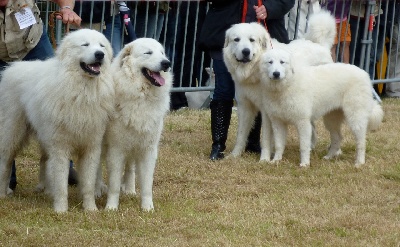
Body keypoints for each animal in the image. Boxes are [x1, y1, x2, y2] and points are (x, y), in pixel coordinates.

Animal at [0, 29, 114, 212]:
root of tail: (12, 67)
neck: (81, 91)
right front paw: (61, 210)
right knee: (5, 162)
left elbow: (88, 183)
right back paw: (3, 193)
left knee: (44, 161)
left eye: (102, 46)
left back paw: (46, 191)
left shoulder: (91, 147)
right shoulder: (60, 147)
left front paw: (90, 209)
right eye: (85, 44)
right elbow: (61, 183)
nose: (100, 54)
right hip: (13, 133)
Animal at [101, 37, 172, 211]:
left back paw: (130, 190)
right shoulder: (116, 149)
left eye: (162, 53)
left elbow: (147, 184)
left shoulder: (147, 150)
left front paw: (147, 208)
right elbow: (114, 184)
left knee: (130, 168)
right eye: (148, 53)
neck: (141, 96)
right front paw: (111, 208)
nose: (166, 63)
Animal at [223, 9, 336, 162]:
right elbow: (241, 135)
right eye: (237, 40)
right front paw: (235, 155)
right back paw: (311, 147)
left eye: (252, 40)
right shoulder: (245, 106)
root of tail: (321, 45)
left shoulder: (266, 111)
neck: (256, 70)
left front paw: (264, 159)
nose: (246, 51)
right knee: (312, 126)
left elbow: (265, 137)